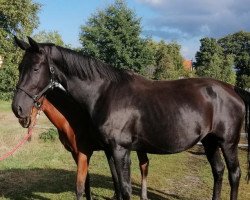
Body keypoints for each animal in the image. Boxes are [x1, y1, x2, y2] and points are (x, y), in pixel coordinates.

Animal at [12, 36, 250, 199]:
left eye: (36, 68)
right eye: (20, 66)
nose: (18, 108)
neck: (105, 93)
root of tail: (233, 89)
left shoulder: (120, 149)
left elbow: (125, 189)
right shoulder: (109, 150)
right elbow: (116, 185)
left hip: (228, 143)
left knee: (234, 174)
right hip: (210, 142)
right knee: (218, 171)